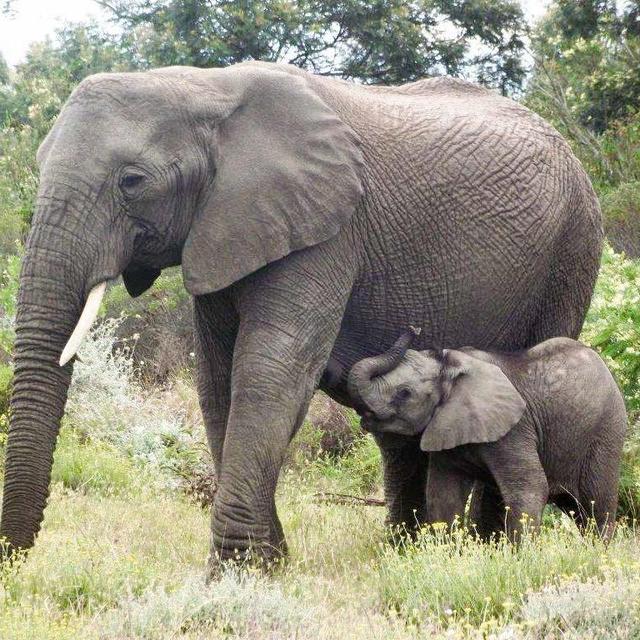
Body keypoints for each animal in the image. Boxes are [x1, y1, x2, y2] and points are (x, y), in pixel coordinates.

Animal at [348, 330, 626, 539]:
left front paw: (522, 558)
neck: (453, 367)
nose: (414, 329)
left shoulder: (515, 428)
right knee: (575, 507)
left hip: (606, 430)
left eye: (404, 393)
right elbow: (442, 495)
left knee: (596, 501)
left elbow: (531, 488)